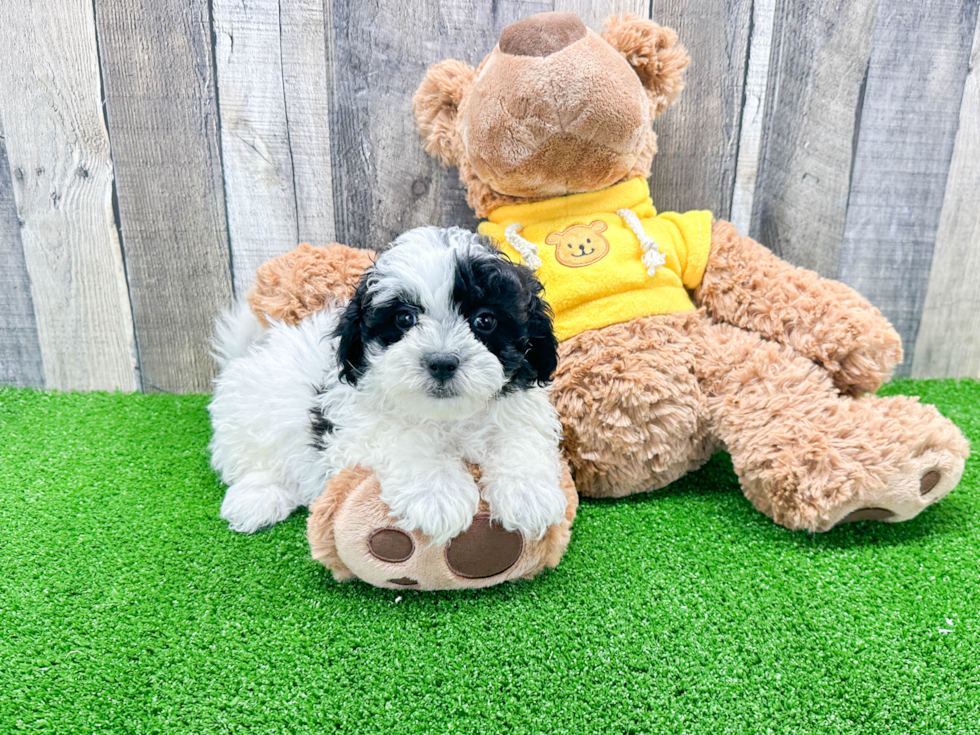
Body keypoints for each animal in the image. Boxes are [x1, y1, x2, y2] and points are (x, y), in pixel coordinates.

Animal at [211, 227, 572, 544]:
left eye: (485, 320)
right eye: (404, 318)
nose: (442, 362)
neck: (448, 417)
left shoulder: (519, 410)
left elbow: (518, 440)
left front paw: (528, 493)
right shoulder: (356, 427)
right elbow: (404, 440)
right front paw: (438, 493)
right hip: (254, 412)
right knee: (253, 459)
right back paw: (256, 499)